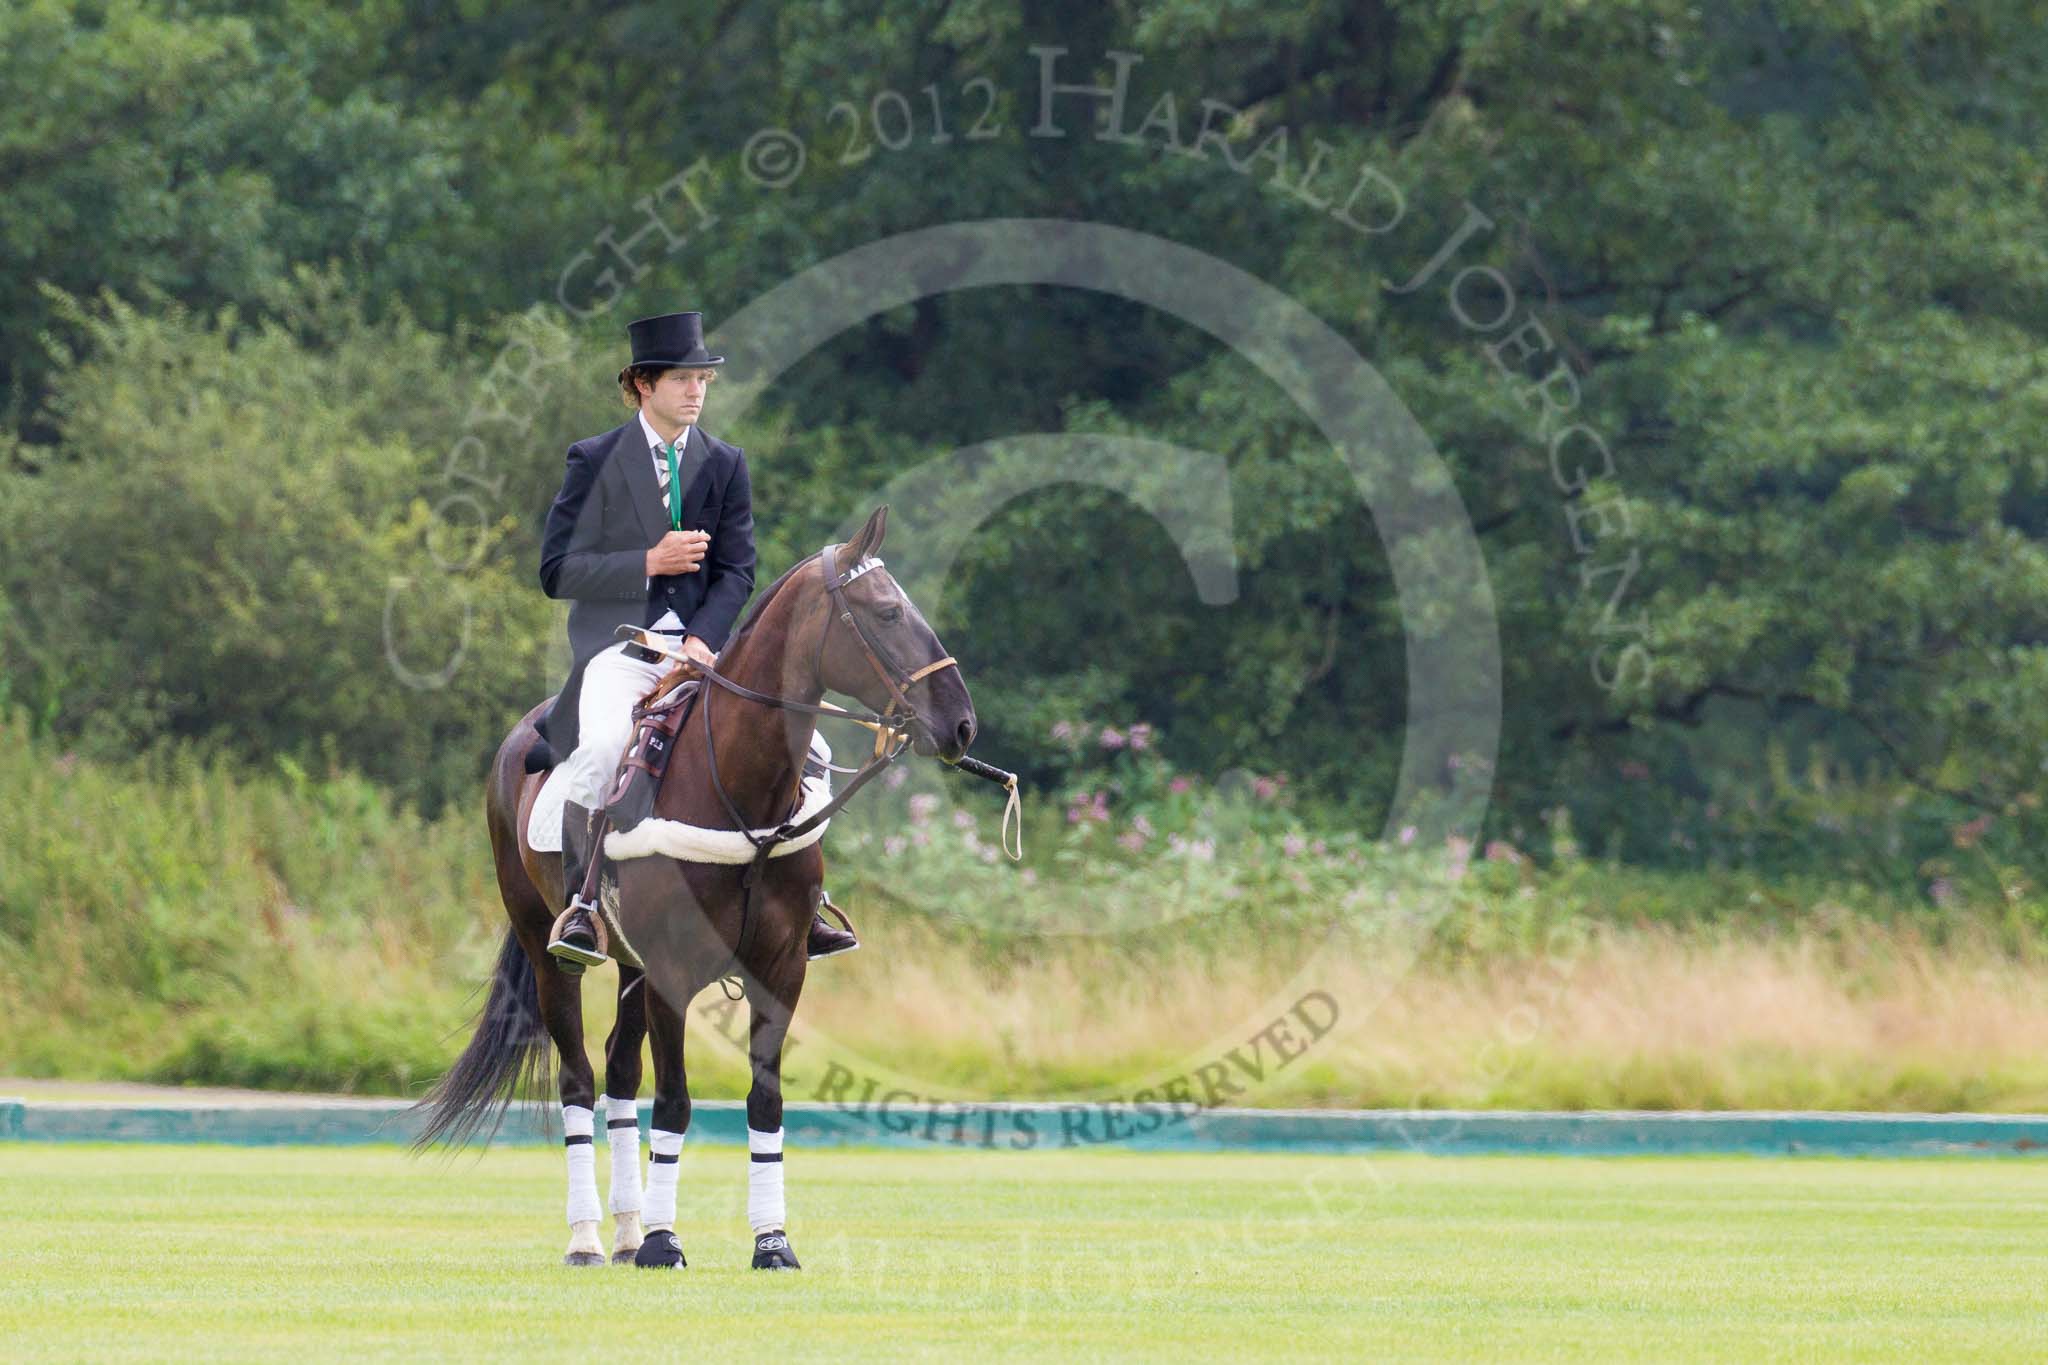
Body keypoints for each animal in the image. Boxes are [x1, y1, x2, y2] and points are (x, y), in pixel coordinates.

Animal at [415, 509, 974, 1268]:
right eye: (888, 612)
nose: (961, 724)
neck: (738, 786)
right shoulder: (673, 973)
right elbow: (675, 1102)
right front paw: (663, 1240)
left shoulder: (780, 970)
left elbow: (764, 1102)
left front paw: (771, 1242)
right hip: (544, 942)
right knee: (579, 1076)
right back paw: (590, 1238)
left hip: (629, 963)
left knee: (620, 1072)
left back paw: (623, 1231)